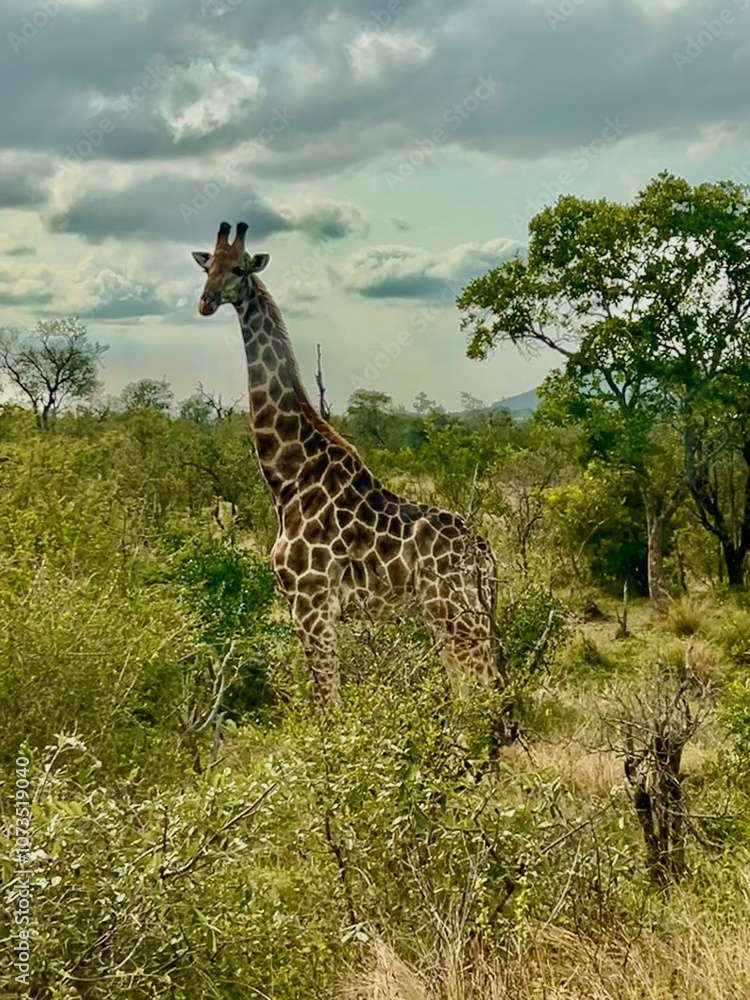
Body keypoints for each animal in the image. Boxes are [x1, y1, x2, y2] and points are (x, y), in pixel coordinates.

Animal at [193, 221, 498, 710]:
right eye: (208, 267)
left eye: (239, 268)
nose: (205, 302)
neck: (288, 478)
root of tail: (487, 556)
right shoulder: (309, 605)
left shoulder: (311, 602)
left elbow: (327, 705)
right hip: (455, 616)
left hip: (456, 614)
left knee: (487, 694)